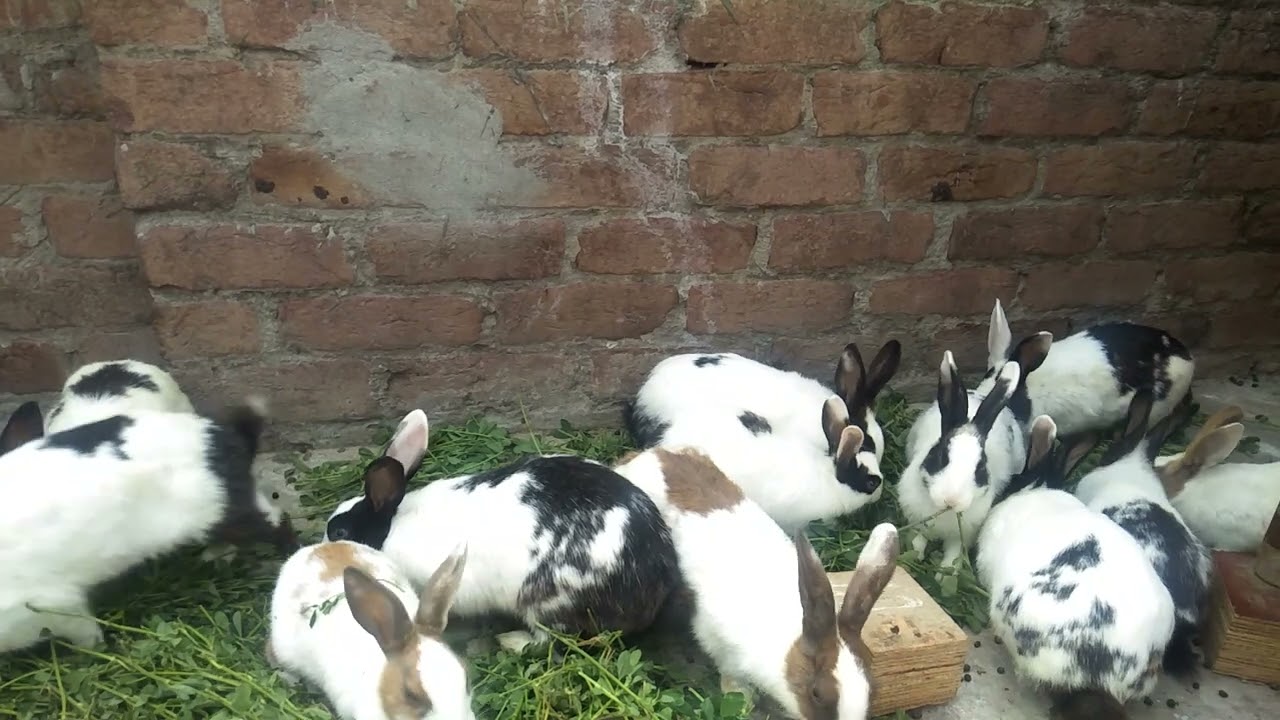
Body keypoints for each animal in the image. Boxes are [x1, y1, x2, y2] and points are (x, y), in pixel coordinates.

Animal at [0, 398, 298, 654]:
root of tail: (225, 439)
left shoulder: (48, 607)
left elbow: (85, 631)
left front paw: (95, 651)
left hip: (224, 513)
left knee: (276, 520)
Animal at [324, 409, 679, 653]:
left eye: (339, 530)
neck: (389, 528)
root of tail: (654, 581)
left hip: (546, 604)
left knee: (552, 641)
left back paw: (510, 640)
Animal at [612, 445, 898, 720]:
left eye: (872, 689)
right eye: (817, 693)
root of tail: (648, 457)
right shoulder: (722, 648)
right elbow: (733, 680)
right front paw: (742, 702)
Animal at [898, 349, 1036, 568]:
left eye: (980, 467)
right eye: (940, 456)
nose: (952, 500)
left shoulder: (960, 537)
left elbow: (952, 557)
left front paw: (945, 570)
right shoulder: (917, 522)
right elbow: (917, 542)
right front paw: (913, 558)